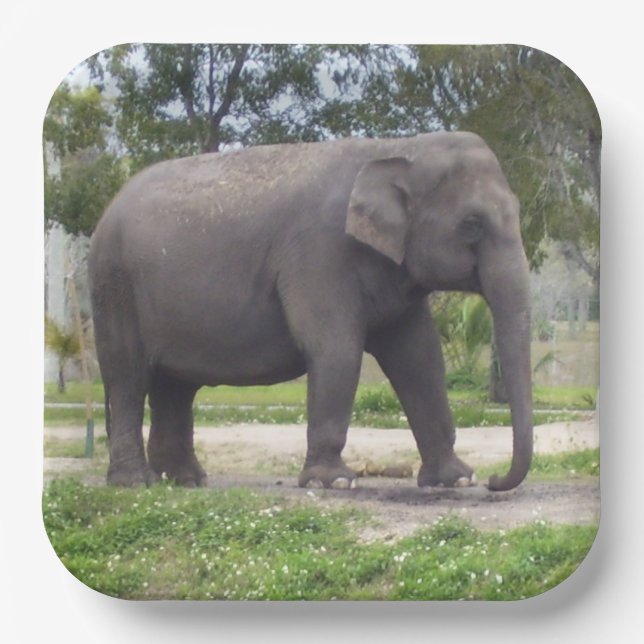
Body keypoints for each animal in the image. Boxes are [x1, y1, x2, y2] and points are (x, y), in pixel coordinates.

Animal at [88, 131, 532, 492]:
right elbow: (336, 348)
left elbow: (420, 357)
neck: (397, 147)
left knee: (174, 385)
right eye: (472, 224)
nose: (494, 481)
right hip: (114, 286)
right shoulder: (319, 255)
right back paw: (136, 483)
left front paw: (456, 479)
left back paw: (185, 481)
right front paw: (333, 482)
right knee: (128, 376)